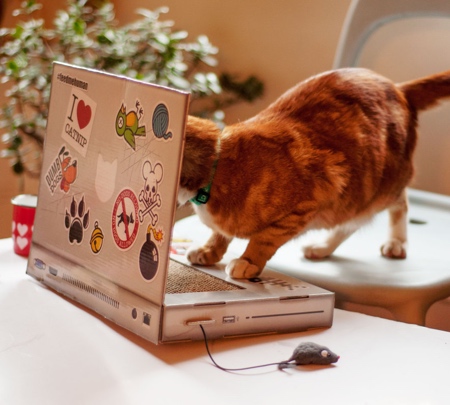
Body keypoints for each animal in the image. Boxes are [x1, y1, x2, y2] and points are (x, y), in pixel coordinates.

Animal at [178, 68, 450, 280]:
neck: (218, 166)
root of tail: (397, 87)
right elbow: (220, 234)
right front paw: (209, 251)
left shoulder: (313, 197)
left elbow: (264, 239)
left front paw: (248, 262)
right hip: (353, 199)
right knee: (350, 224)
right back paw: (322, 248)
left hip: (375, 190)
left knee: (401, 202)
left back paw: (397, 243)